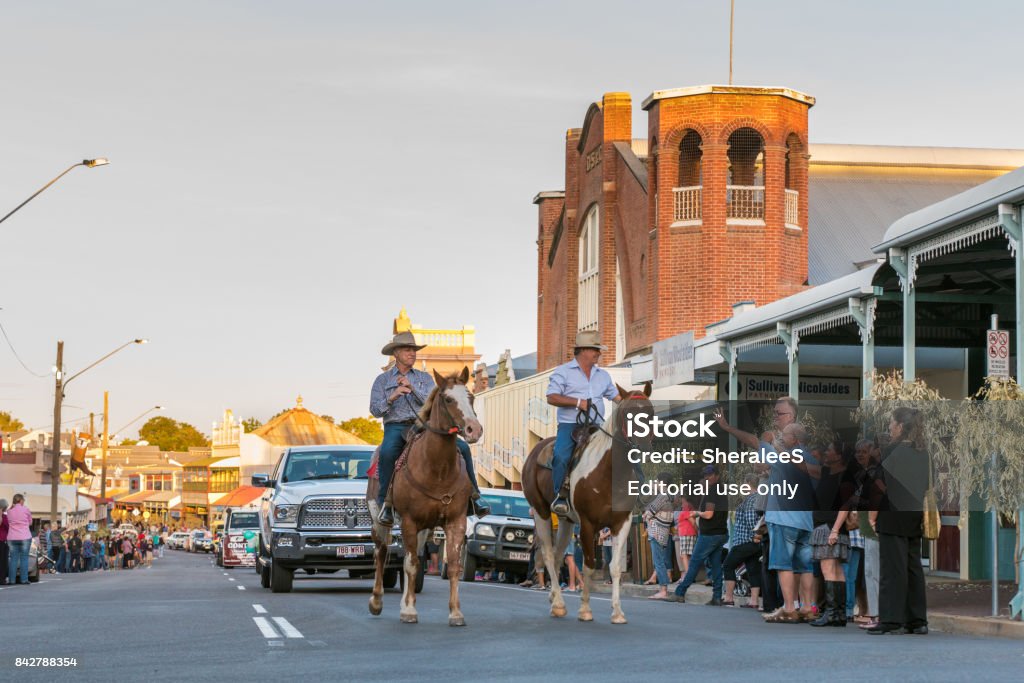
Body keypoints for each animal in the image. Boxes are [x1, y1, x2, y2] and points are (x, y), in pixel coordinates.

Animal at [366, 366, 481, 626]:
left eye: (471, 397)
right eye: (448, 399)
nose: (474, 429)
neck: (437, 469)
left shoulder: (455, 521)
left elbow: (452, 566)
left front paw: (455, 613)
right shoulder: (409, 521)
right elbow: (409, 564)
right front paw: (409, 611)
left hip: (423, 529)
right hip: (380, 519)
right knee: (381, 552)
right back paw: (376, 601)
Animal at [524, 382, 651, 626]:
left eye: (651, 412)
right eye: (627, 414)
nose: (642, 445)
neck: (609, 473)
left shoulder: (622, 523)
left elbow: (614, 568)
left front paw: (617, 612)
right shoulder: (588, 524)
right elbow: (589, 566)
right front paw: (585, 610)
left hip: (565, 521)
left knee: (557, 556)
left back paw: (555, 598)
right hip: (541, 512)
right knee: (547, 554)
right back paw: (559, 604)